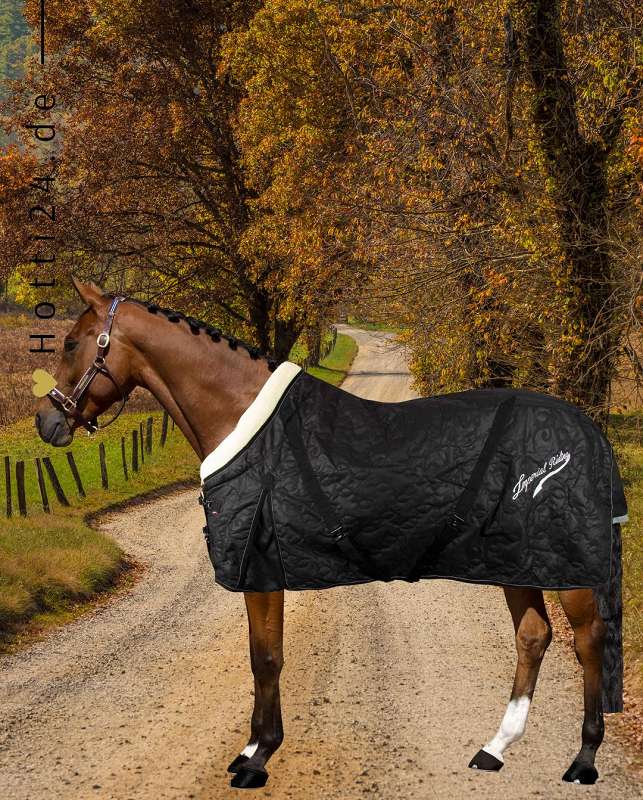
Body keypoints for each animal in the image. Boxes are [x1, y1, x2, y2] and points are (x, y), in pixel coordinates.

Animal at [34, 276, 625, 790]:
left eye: (71, 342)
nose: (47, 422)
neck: (246, 422)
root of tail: (589, 432)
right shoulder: (261, 575)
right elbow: (260, 653)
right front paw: (250, 750)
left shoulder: (261, 572)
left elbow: (267, 658)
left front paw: (258, 759)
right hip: (512, 561)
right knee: (534, 636)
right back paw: (493, 749)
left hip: (567, 568)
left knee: (588, 640)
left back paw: (583, 759)